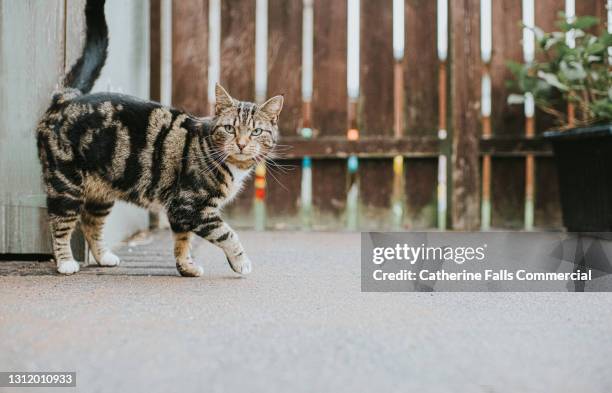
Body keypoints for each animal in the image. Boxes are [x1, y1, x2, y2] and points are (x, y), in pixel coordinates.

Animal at [39, 0, 284, 276]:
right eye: (230, 128)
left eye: (256, 131)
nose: (241, 144)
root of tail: (66, 98)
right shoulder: (191, 206)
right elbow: (227, 234)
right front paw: (241, 262)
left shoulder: (180, 213)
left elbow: (183, 241)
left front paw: (187, 267)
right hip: (65, 184)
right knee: (60, 223)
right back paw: (65, 262)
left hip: (101, 193)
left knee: (92, 223)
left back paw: (104, 257)